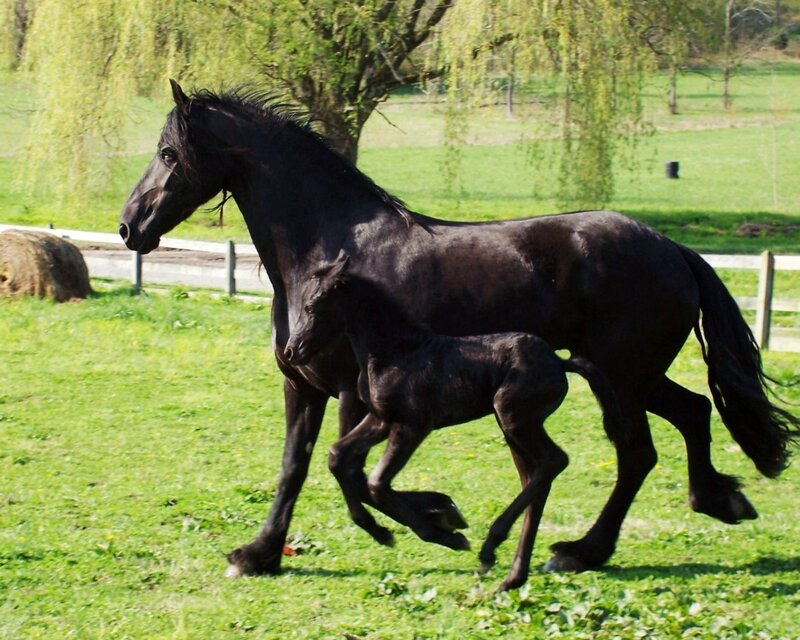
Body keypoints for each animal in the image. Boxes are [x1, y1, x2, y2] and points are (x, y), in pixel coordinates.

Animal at [283, 251, 626, 589]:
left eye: (312, 306)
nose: (291, 352)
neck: (396, 351)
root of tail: (559, 361)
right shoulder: (380, 420)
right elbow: (337, 456)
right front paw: (382, 530)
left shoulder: (412, 426)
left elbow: (377, 482)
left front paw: (447, 533)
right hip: (515, 425)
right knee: (538, 475)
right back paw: (512, 575)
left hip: (514, 418)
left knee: (553, 461)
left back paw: (491, 548)